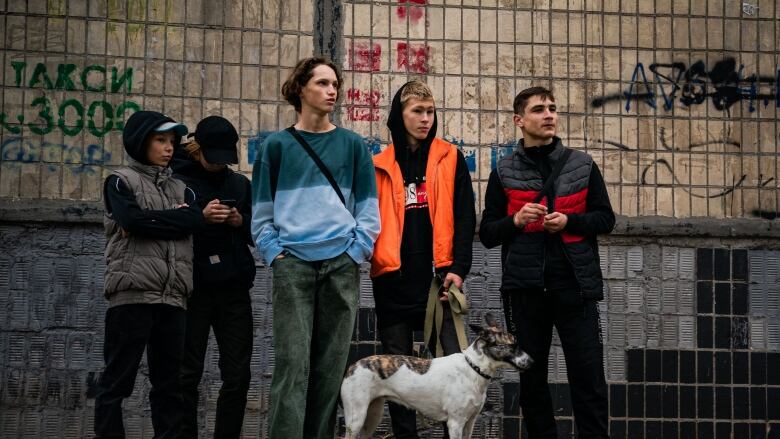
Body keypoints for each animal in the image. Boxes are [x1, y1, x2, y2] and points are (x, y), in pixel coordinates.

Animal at [340, 314, 532, 438]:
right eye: (513, 346)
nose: (532, 361)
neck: (473, 368)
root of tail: (353, 366)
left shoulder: (470, 422)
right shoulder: (455, 423)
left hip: (372, 415)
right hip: (356, 418)